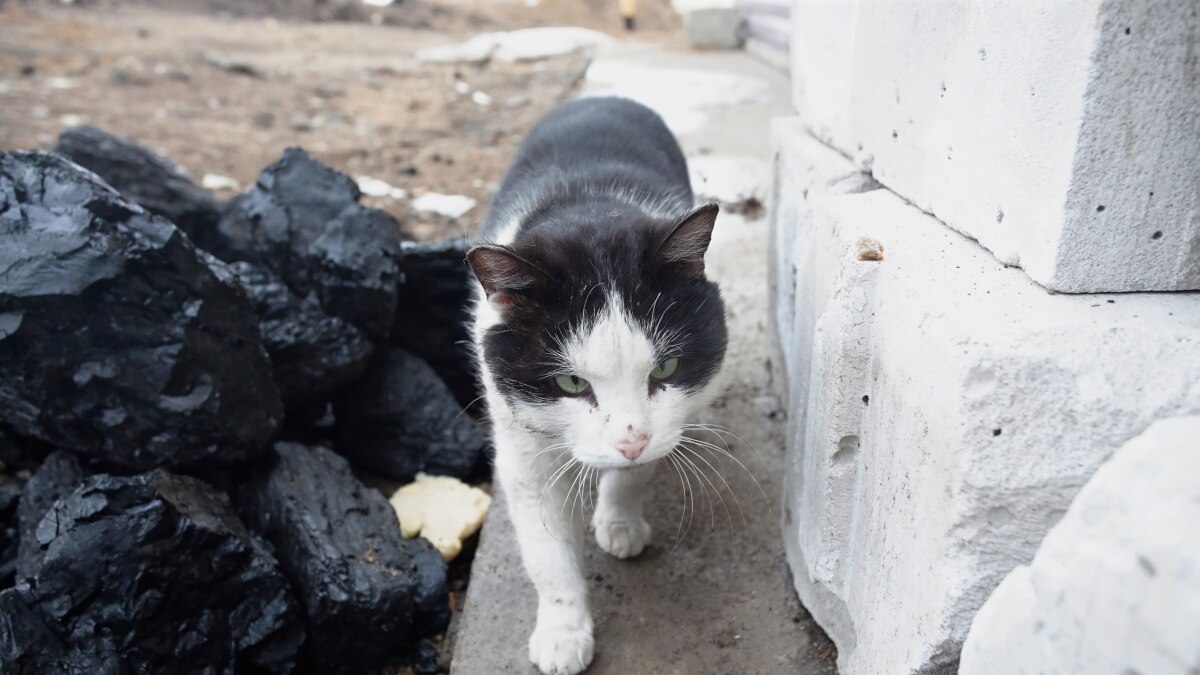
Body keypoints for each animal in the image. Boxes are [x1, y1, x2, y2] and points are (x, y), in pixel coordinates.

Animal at [468, 96, 729, 672]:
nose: (629, 442)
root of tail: (602, 97)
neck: (590, 207)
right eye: (570, 382)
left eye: (665, 370)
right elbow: (547, 555)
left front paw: (620, 520)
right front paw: (563, 632)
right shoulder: (521, 446)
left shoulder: (670, 421)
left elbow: (638, 471)